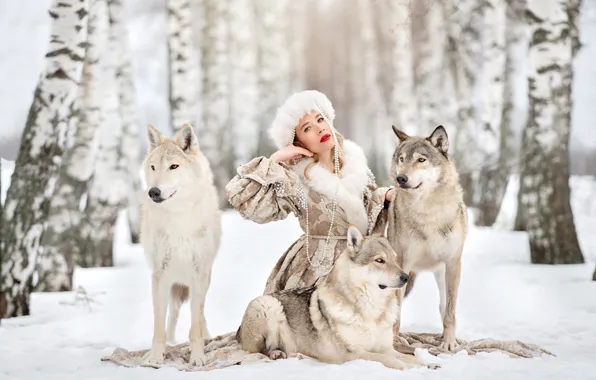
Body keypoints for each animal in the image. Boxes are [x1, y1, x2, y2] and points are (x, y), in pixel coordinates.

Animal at [140, 123, 221, 366]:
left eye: (174, 166)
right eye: (154, 167)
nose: (153, 192)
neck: (179, 218)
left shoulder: (199, 274)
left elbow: (195, 326)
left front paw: (198, 357)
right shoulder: (159, 275)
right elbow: (158, 325)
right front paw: (155, 356)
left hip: (203, 280)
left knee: (200, 314)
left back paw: (207, 338)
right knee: (172, 314)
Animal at [235, 224, 440, 370]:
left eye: (395, 259)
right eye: (379, 260)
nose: (406, 277)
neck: (371, 311)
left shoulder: (386, 348)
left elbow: (407, 357)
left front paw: (428, 364)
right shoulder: (354, 353)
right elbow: (391, 361)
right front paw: (410, 369)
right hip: (267, 306)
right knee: (259, 351)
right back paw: (278, 354)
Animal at [386, 126, 470, 352]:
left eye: (421, 160)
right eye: (402, 159)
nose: (401, 178)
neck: (427, 213)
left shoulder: (453, 263)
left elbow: (450, 311)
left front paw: (449, 343)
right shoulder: (403, 265)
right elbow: (396, 312)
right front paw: (394, 341)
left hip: (442, 274)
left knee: (443, 306)